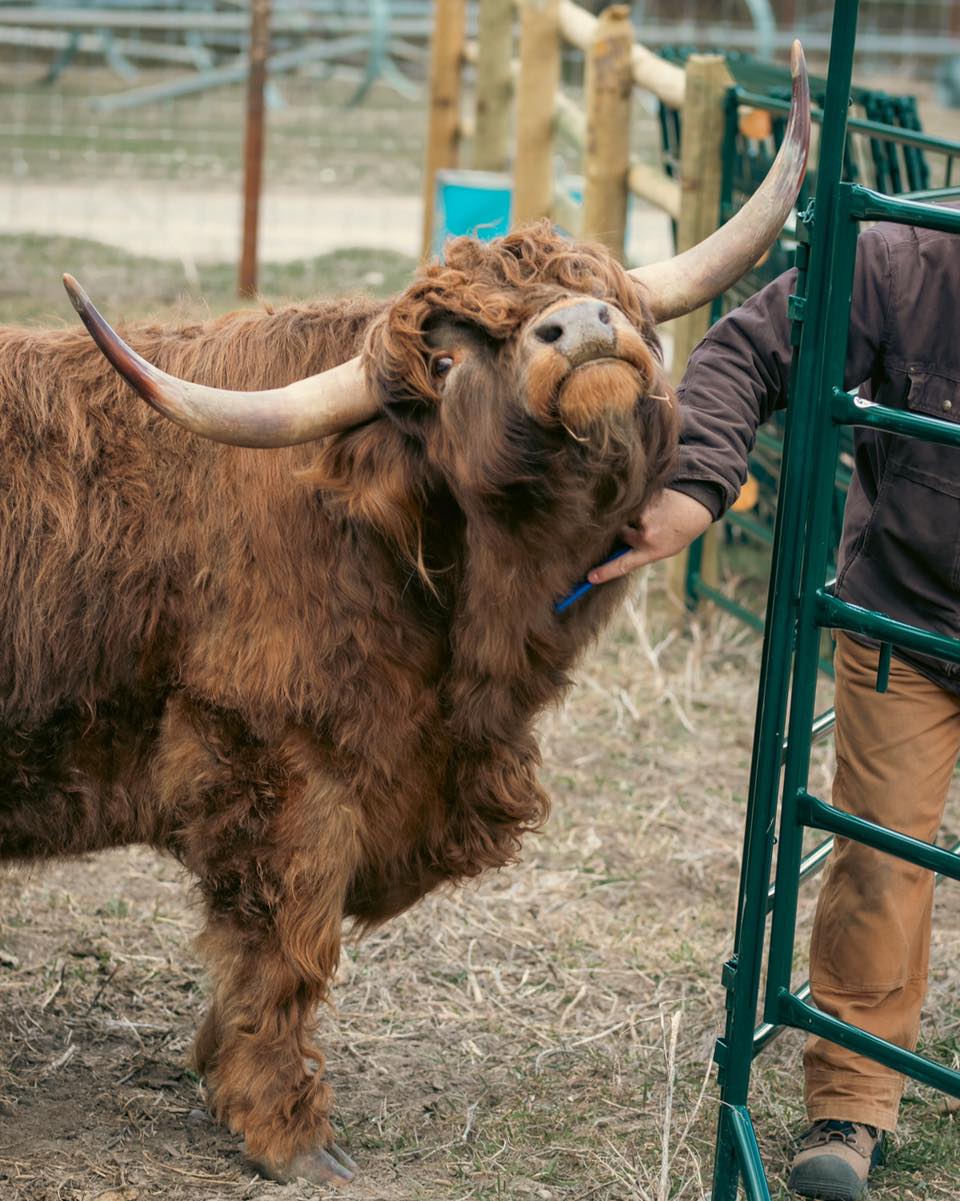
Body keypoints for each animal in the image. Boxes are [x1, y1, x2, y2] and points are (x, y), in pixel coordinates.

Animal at [0, 48, 808, 1186]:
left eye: (593, 289)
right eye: (452, 358)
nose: (581, 329)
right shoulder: (278, 764)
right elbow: (284, 946)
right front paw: (287, 1130)